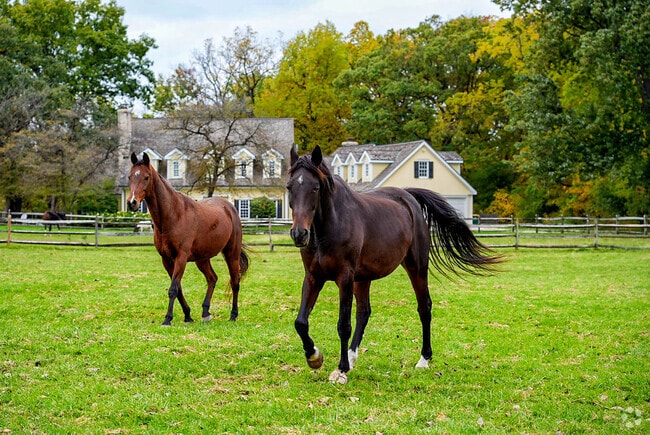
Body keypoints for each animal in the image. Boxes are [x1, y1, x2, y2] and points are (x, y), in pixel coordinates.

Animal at [128, 152, 249, 326]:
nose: (132, 202)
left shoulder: (181, 257)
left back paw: (233, 315)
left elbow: (173, 288)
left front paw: (167, 319)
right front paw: (188, 315)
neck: (173, 214)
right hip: (202, 259)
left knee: (235, 282)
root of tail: (230, 208)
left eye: (146, 177)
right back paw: (205, 312)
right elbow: (178, 288)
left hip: (231, 254)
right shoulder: (166, 260)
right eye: (130, 176)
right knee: (212, 279)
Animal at [286, 145, 503, 384]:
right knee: (364, 312)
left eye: (315, 188)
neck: (329, 227)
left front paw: (340, 370)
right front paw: (314, 357)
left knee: (424, 307)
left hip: (416, 268)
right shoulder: (313, 277)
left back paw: (423, 359)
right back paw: (352, 357)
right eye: (289, 187)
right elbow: (300, 322)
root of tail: (409, 198)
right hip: (363, 278)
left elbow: (343, 325)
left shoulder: (345, 278)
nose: (299, 234)